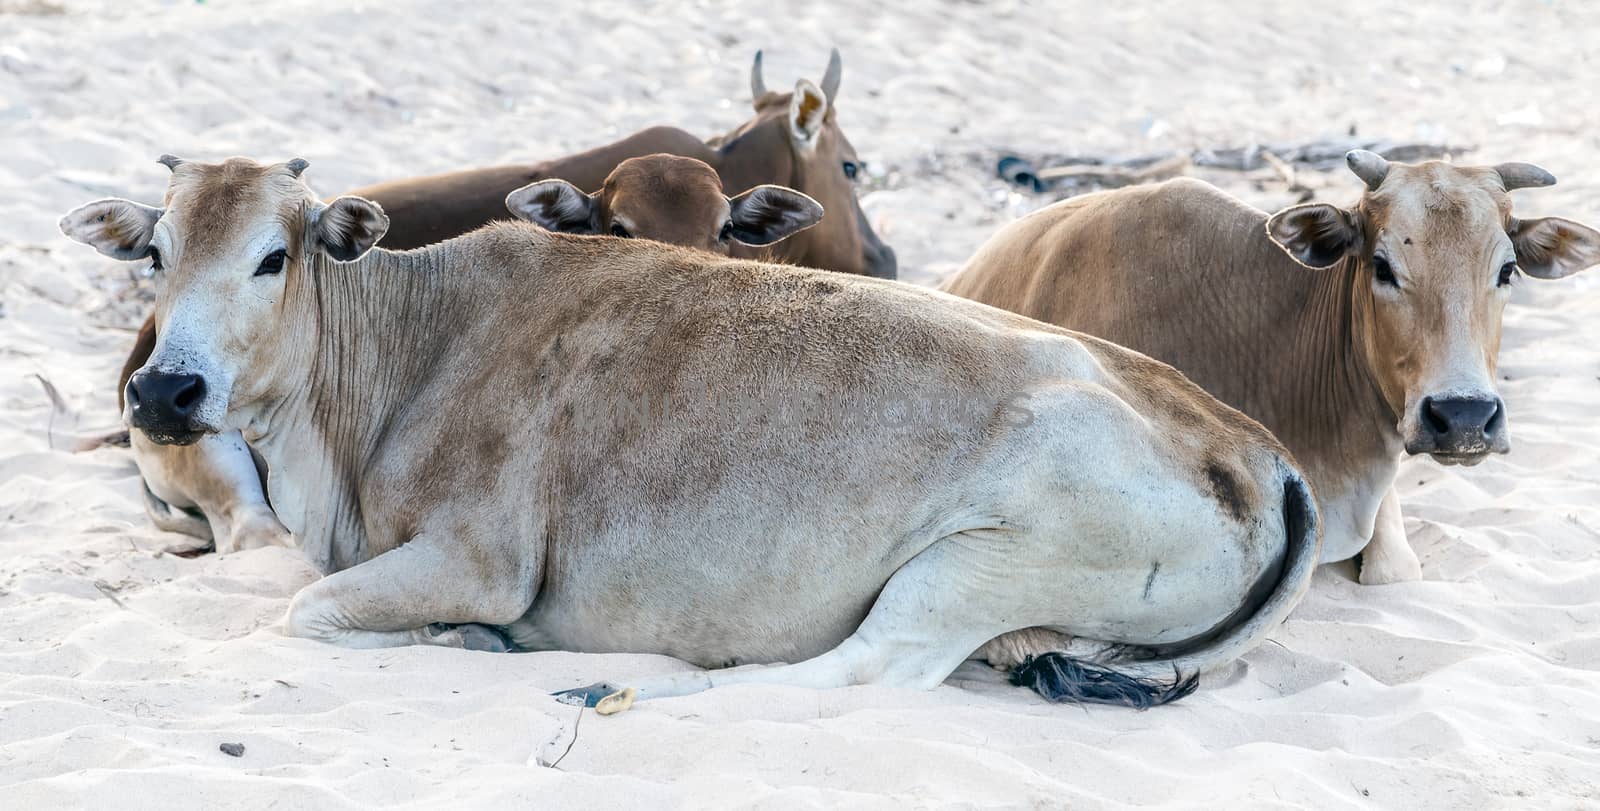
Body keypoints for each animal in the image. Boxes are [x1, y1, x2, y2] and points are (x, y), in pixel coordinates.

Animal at [65, 155, 1324, 707]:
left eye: (273, 256)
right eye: (156, 251)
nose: (164, 391)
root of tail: (1261, 454)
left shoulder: (477, 556)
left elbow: (310, 609)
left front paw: (460, 640)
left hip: (980, 562)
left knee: (861, 668)